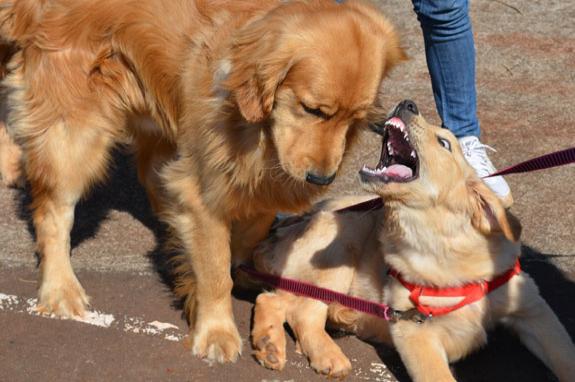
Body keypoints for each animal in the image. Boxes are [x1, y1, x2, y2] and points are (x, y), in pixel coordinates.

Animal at [0, 0, 404, 362]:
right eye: (312, 109)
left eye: (355, 119)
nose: (322, 178)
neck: (257, 131)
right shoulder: (203, 188)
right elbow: (214, 268)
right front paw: (216, 331)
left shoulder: (259, 187)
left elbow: (246, 236)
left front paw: (241, 267)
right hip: (74, 128)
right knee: (54, 211)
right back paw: (60, 288)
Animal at [252, 100, 575, 380]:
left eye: (444, 143)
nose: (407, 103)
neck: (441, 245)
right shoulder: (414, 330)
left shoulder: (533, 308)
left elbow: (565, 356)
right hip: (340, 245)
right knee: (297, 308)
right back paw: (318, 354)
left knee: (278, 301)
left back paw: (274, 345)